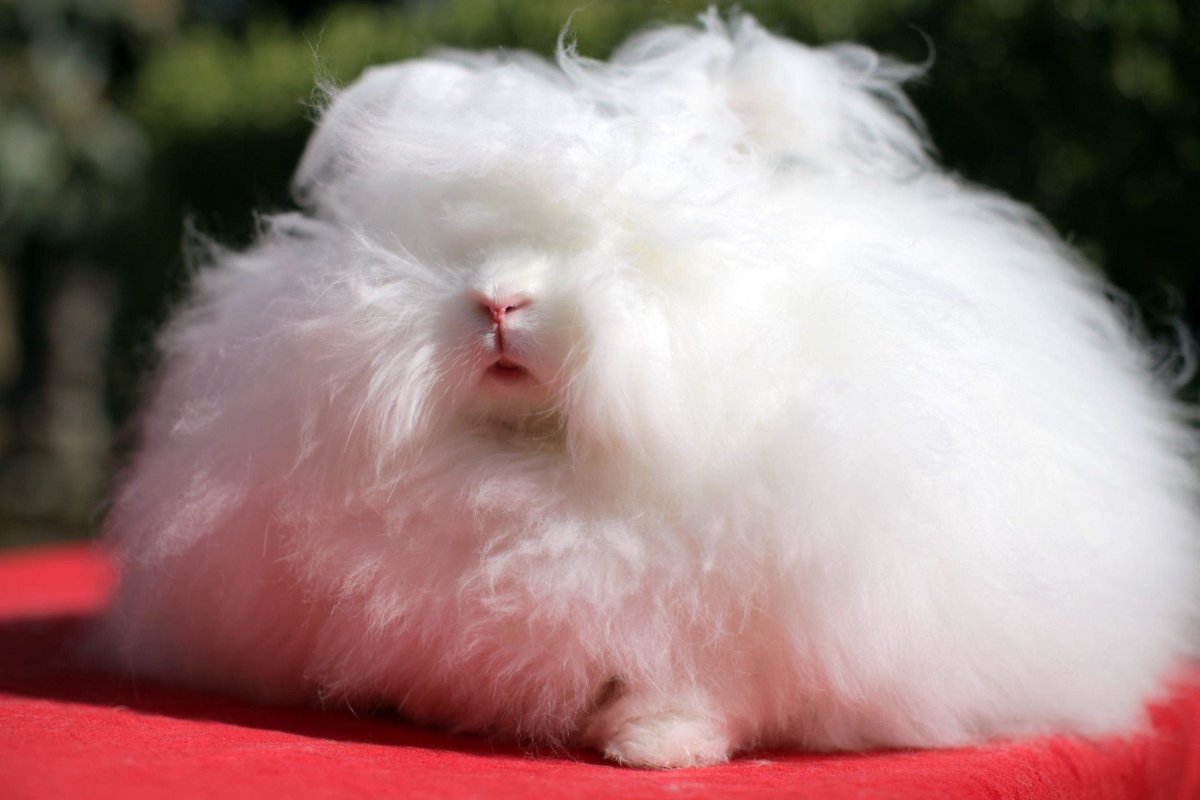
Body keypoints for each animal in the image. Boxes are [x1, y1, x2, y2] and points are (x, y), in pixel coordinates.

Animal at [100, 11, 1199, 768]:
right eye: (453, 245)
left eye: (613, 245)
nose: (497, 301)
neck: (538, 456)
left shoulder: (753, 592)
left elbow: (695, 680)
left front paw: (655, 747)